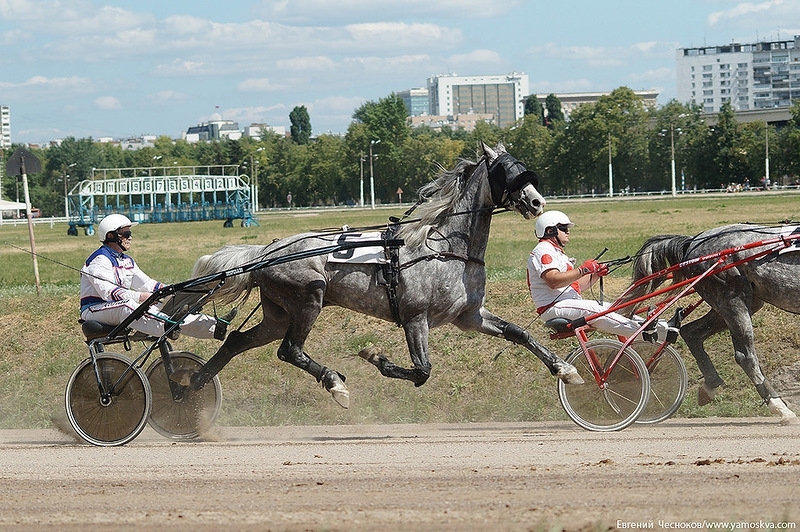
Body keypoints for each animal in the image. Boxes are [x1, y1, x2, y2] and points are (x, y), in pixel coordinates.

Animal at [191, 142, 584, 408]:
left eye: (522, 167)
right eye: (505, 170)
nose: (537, 202)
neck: (445, 247)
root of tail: (265, 252)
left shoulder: (469, 316)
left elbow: (519, 333)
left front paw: (565, 368)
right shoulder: (415, 318)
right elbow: (422, 370)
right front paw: (374, 356)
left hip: (278, 314)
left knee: (237, 341)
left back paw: (191, 384)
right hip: (308, 299)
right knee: (289, 350)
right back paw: (334, 383)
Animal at [620, 222, 800, 426]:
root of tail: (692, 242)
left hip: (738, 303)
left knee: (692, 332)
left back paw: (710, 386)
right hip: (732, 298)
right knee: (745, 356)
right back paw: (780, 408)